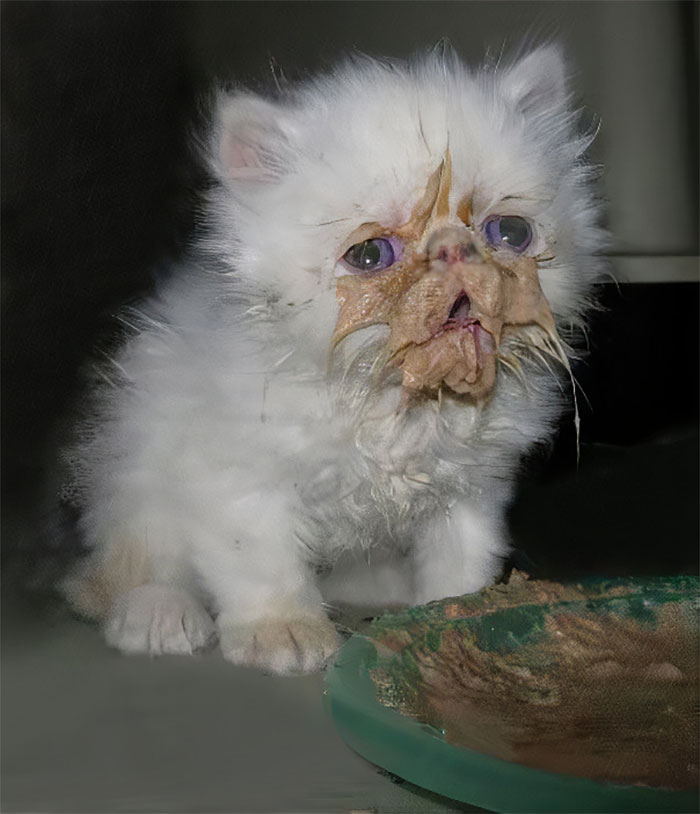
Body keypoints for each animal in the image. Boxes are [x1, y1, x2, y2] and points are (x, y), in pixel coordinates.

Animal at [63, 47, 604, 680]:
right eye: (369, 255)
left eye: (510, 232)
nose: (452, 250)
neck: (396, 404)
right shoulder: (234, 479)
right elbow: (261, 563)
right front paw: (282, 631)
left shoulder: (471, 491)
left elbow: (462, 564)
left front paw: (457, 619)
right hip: (135, 454)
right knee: (136, 563)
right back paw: (156, 613)